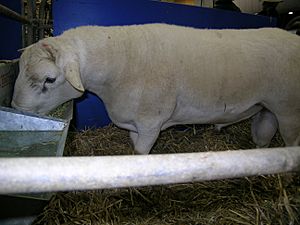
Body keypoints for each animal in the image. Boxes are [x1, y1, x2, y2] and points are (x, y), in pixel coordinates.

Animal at [11, 23, 300, 154]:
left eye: (49, 80)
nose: (16, 108)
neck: (119, 62)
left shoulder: (151, 122)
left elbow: (140, 153)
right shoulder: (133, 122)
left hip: (289, 111)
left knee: (292, 143)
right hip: (267, 108)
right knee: (263, 138)